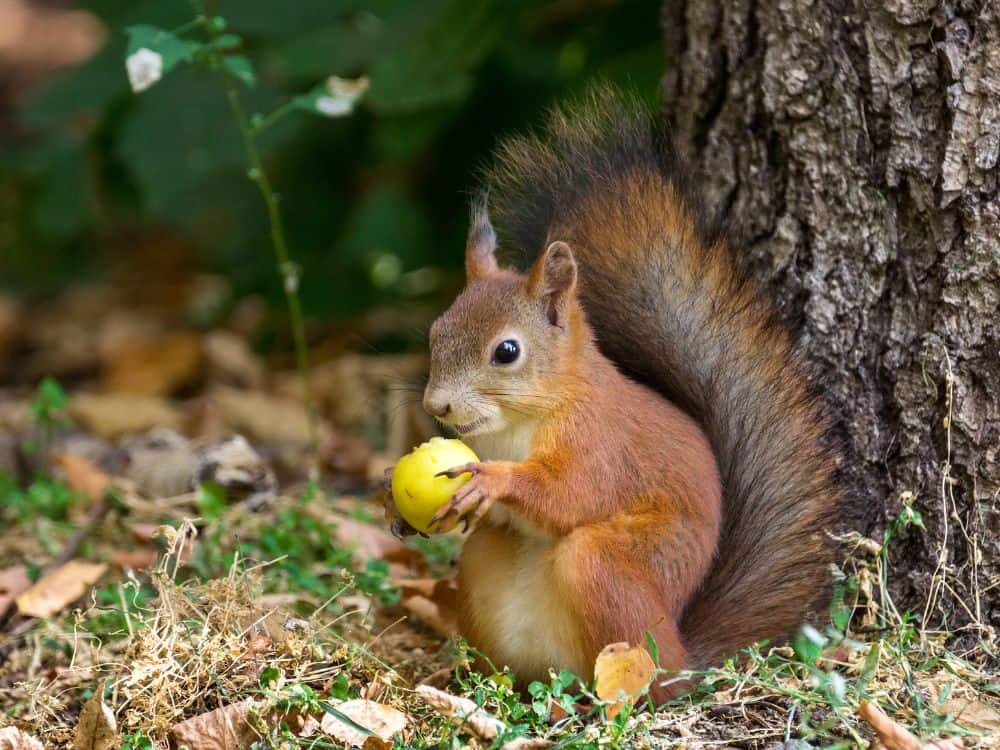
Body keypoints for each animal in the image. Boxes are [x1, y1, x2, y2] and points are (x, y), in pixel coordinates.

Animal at [384, 87, 839, 702]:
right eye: (436, 332)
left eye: (507, 351)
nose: (437, 407)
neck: (520, 423)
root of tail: (685, 660)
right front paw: (396, 505)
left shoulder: (599, 441)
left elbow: (570, 493)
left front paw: (496, 481)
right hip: (488, 573)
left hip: (606, 571)